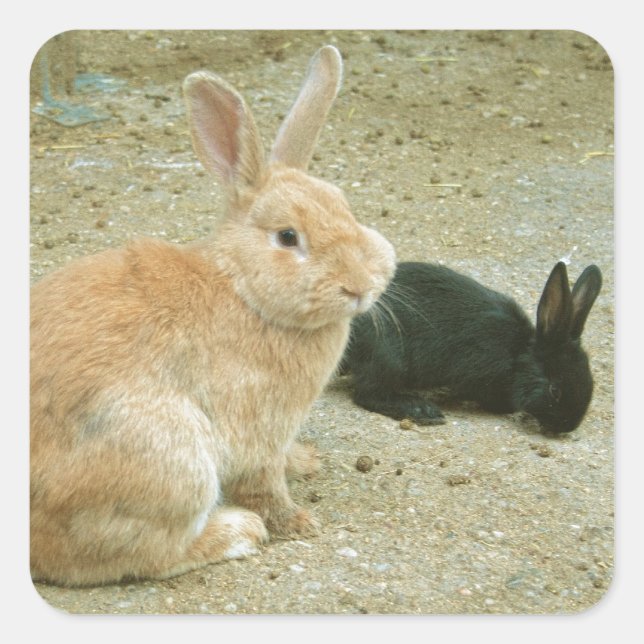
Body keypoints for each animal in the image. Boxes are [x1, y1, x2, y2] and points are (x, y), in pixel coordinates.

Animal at [30, 45, 396, 587]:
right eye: (288, 237)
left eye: (344, 205)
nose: (359, 285)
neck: (243, 288)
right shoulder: (257, 427)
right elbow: (265, 484)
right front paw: (298, 523)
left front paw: (305, 461)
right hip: (171, 457)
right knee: (133, 555)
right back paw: (238, 533)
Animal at [341, 260, 602, 434]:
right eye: (554, 390)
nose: (568, 426)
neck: (517, 354)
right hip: (389, 359)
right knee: (369, 394)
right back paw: (422, 410)